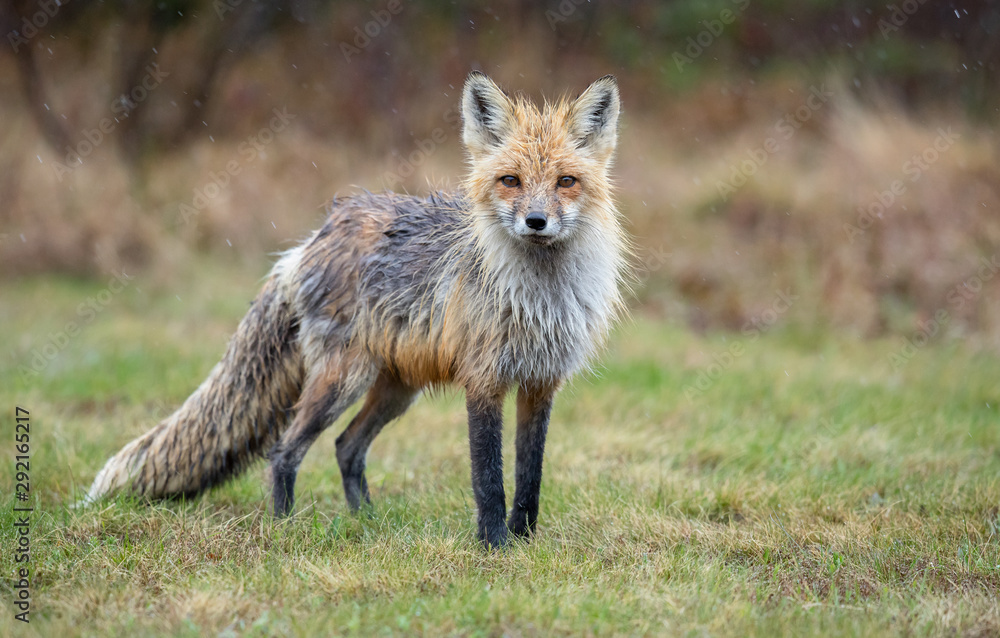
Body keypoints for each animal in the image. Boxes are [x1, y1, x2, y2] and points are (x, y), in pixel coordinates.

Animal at [85, 72, 628, 548]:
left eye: (565, 181)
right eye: (510, 180)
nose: (536, 221)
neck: (537, 300)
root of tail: (312, 239)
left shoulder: (540, 384)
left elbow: (529, 476)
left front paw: (526, 542)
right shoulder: (483, 380)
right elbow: (489, 478)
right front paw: (494, 548)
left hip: (396, 390)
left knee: (346, 447)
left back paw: (367, 521)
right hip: (342, 379)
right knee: (285, 450)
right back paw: (286, 528)